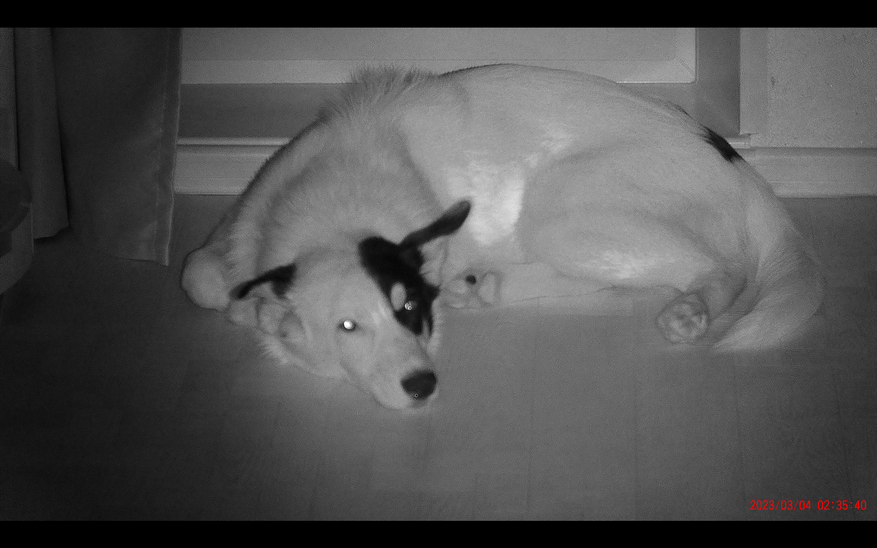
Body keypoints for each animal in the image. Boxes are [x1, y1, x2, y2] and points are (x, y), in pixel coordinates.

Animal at [181, 64, 824, 409]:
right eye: (348, 327)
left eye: (410, 310)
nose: (423, 386)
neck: (335, 211)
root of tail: (736, 162)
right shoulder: (236, 228)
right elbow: (201, 277)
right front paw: (241, 308)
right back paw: (487, 285)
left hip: (559, 211)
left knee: (718, 267)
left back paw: (691, 311)